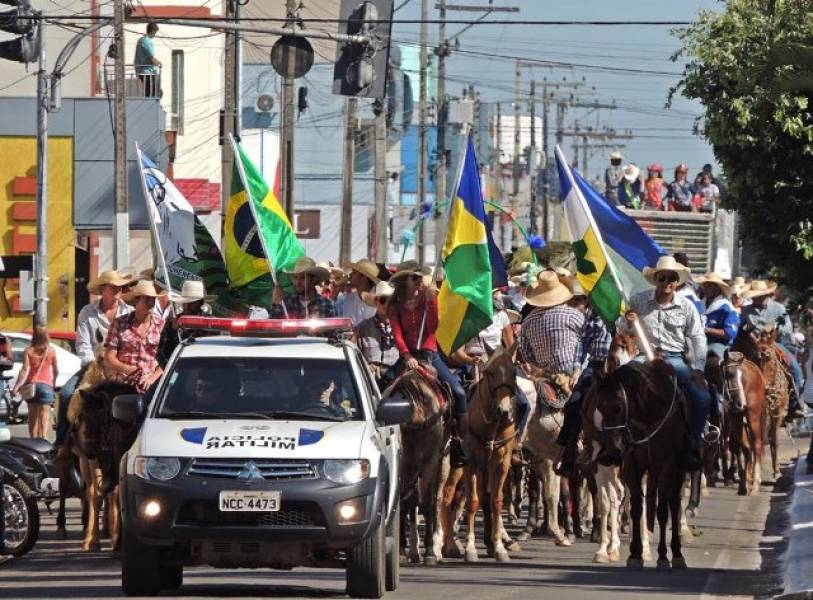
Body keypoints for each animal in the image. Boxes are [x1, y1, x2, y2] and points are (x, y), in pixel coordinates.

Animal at [382, 364, 448, 564]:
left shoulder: (430, 461)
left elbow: (426, 502)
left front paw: (429, 551)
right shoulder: (405, 465)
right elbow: (403, 502)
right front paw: (402, 550)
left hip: (441, 462)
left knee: (435, 499)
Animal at [440, 346, 516, 564]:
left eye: (514, 373)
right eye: (490, 373)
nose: (504, 411)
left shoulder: (500, 464)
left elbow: (495, 501)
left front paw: (499, 547)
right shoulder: (472, 463)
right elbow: (473, 503)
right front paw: (471, 548)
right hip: (455, 466)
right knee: (447, 496)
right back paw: (448, 545)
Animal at [588, 358, 692, 568]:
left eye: (618, 407)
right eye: (599, 406)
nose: (611, 451)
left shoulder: (666, 466)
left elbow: (662, 511)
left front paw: (662, 556)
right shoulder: (632, 465)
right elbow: (635, 507)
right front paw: (635, 554)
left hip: (675, 472)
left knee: (674, 504)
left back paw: (676, 554)